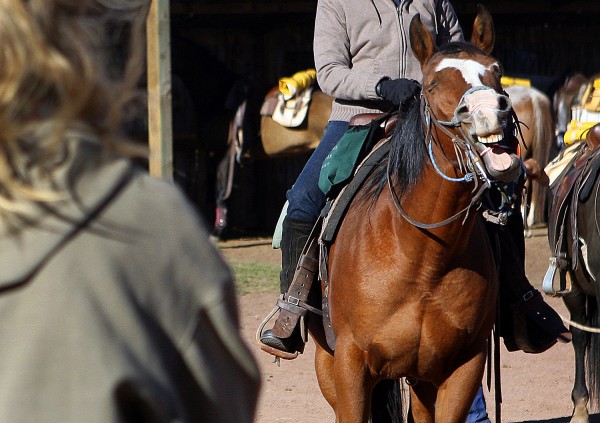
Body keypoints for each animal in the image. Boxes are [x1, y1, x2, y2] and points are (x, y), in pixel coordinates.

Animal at [312, 4, 508, 422]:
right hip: (327, 364)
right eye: (431, 84)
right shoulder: (350, 363)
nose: (490, 114)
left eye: (497, 71)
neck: (422, 256)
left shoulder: (463, 366)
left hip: (420, 380)